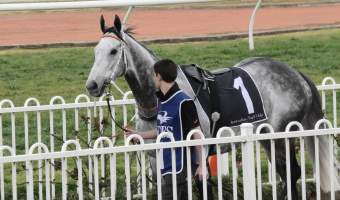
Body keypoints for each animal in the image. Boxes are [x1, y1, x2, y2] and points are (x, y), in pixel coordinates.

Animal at [86, 14, 338, 199]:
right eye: (95, 51)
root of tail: (296, 73)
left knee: (291, 172)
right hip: (266, 136)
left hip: (280, 134)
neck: (161, 100)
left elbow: (201, 186)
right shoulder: (157, 157)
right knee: (286, 173)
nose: (92, 85)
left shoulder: (198, 152)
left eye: (113, 51)